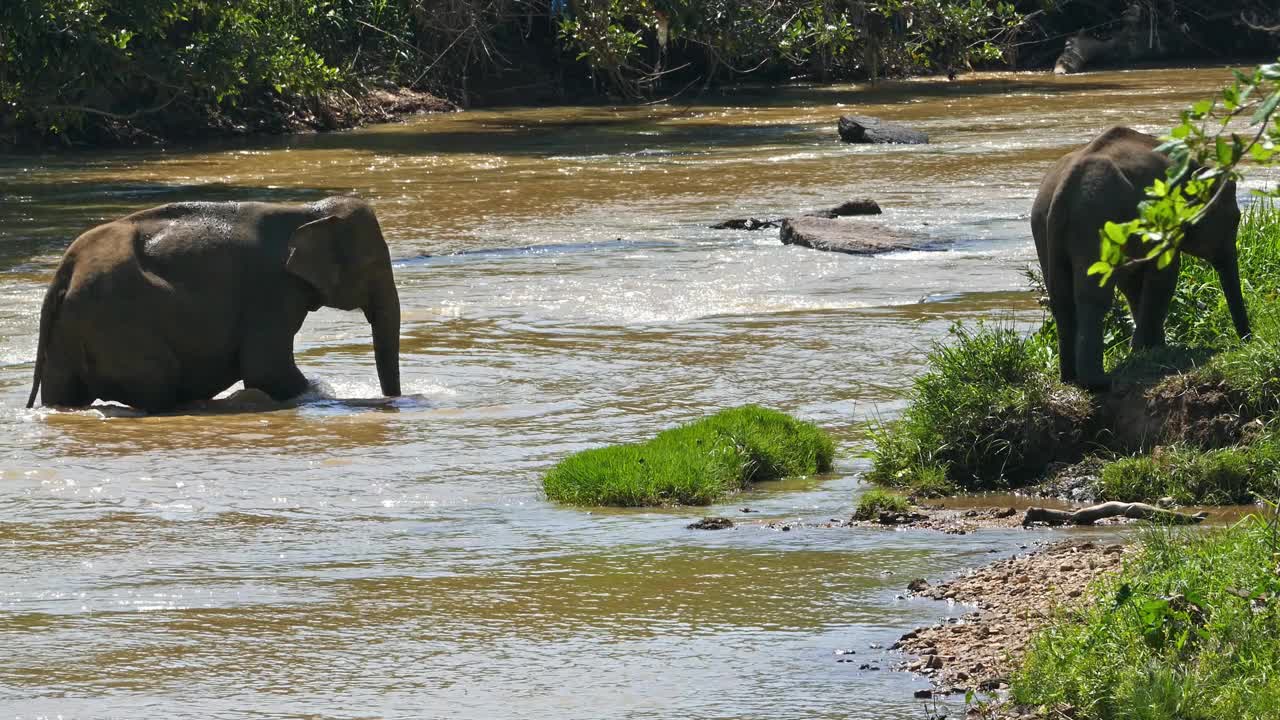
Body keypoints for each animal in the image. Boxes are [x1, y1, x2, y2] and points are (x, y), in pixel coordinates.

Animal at [28, 194, 399, 409]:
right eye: (375, 264)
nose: (391, 400)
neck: (307, 211)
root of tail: (66, 270)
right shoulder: (270, 290)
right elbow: (268, 369)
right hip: (117, 324)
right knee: (159, 385)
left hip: (68, 333)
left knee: (64, 392)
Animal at [1029, 126, 1249, 389]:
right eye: (1235, 219)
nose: (1246, 341)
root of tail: (1063, 190)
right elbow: (1165, 274)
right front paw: (1148, 352)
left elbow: (1132, 283)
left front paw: (1151, 349)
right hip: (1096, 223)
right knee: (1093, 297)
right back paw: (1099, 382)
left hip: (1045, 230)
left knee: (1061, 299)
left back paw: (1070, 379)